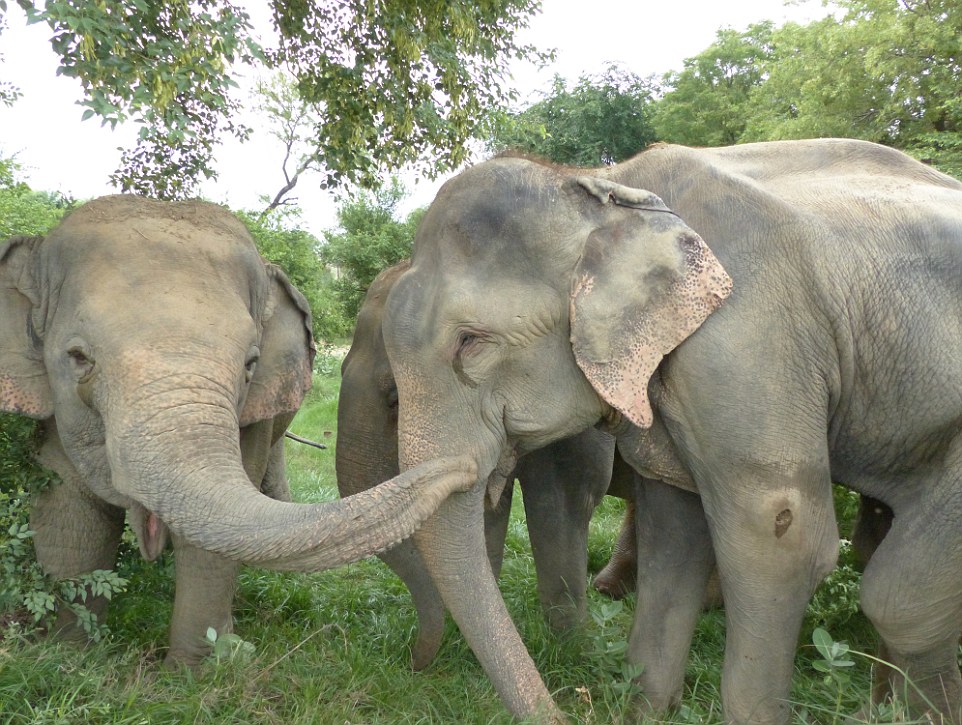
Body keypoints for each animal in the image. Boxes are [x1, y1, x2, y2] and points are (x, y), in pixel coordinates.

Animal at [0, 194, 474, 668]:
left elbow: (212, 537)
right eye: (78, 357)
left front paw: (194, 671)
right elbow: (68, 516)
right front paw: (68, 657)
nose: (466, 468)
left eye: (250, 362)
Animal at [336, 258, 644, 668]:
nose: (409, 660)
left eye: (394, 398)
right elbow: (487, 507)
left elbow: (563, 494)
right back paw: (612, 590)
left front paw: (569, 650)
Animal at [376, 137, 962, 724]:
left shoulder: (746, 336)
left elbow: (780, 530)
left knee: (897, 598)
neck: (606, 183)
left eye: (470, 343)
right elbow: (674, 526)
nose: (566, 704)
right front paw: (647, 710)